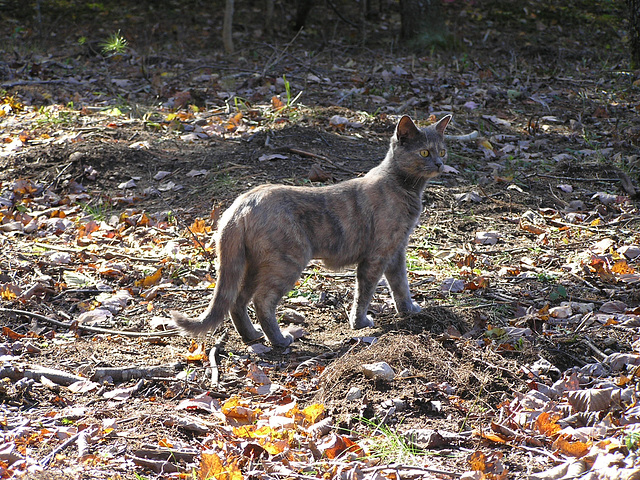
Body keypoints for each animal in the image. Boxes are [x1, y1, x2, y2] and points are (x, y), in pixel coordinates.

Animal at [170, 114, 450, 346]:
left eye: (442, 151)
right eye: (424, 152)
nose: (439, 163)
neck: (407, 189)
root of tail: (240, 205)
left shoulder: (397, 249)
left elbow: (400, 283)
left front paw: (409, 310)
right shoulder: (378, 254)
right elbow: (365, 291)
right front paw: (360, 323)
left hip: (251, 264)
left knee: (237, 301)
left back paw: (252, 336)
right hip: (287, 261)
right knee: (262, 301)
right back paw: (280, 341)